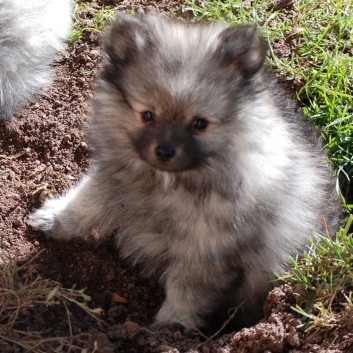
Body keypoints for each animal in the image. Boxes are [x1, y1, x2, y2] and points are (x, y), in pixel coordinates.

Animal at [29, 13, 340, 332]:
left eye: (199, 124)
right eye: (147, 115)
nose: (165, 151)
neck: (170, 184)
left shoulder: (208, 252)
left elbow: (188, 290)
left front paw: (171, 327)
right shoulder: (113, 182)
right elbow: (85, 204)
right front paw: (54, 219)